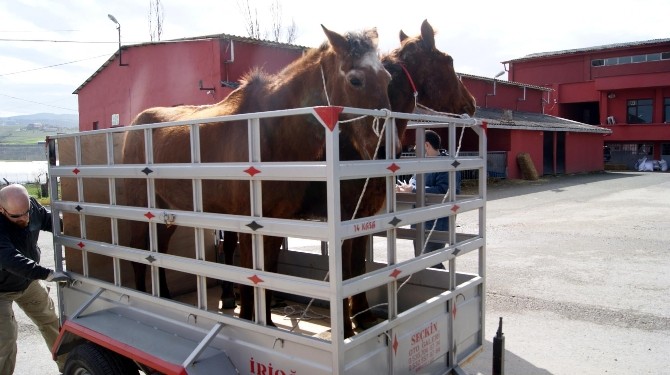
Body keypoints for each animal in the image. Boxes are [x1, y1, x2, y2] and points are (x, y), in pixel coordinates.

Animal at [121, 27, 396, 328]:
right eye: (355, 80)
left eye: (388, 78)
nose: (386, 149)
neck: (269, 132)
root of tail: (134, 125)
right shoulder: (247, 222)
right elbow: (249, 274)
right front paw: (248, 318)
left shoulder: (276, 220)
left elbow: (269, 270)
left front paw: (268, 322)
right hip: (139, 209)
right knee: (137, 252)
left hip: (166, 211)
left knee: (159, 249)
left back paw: (164, 296)